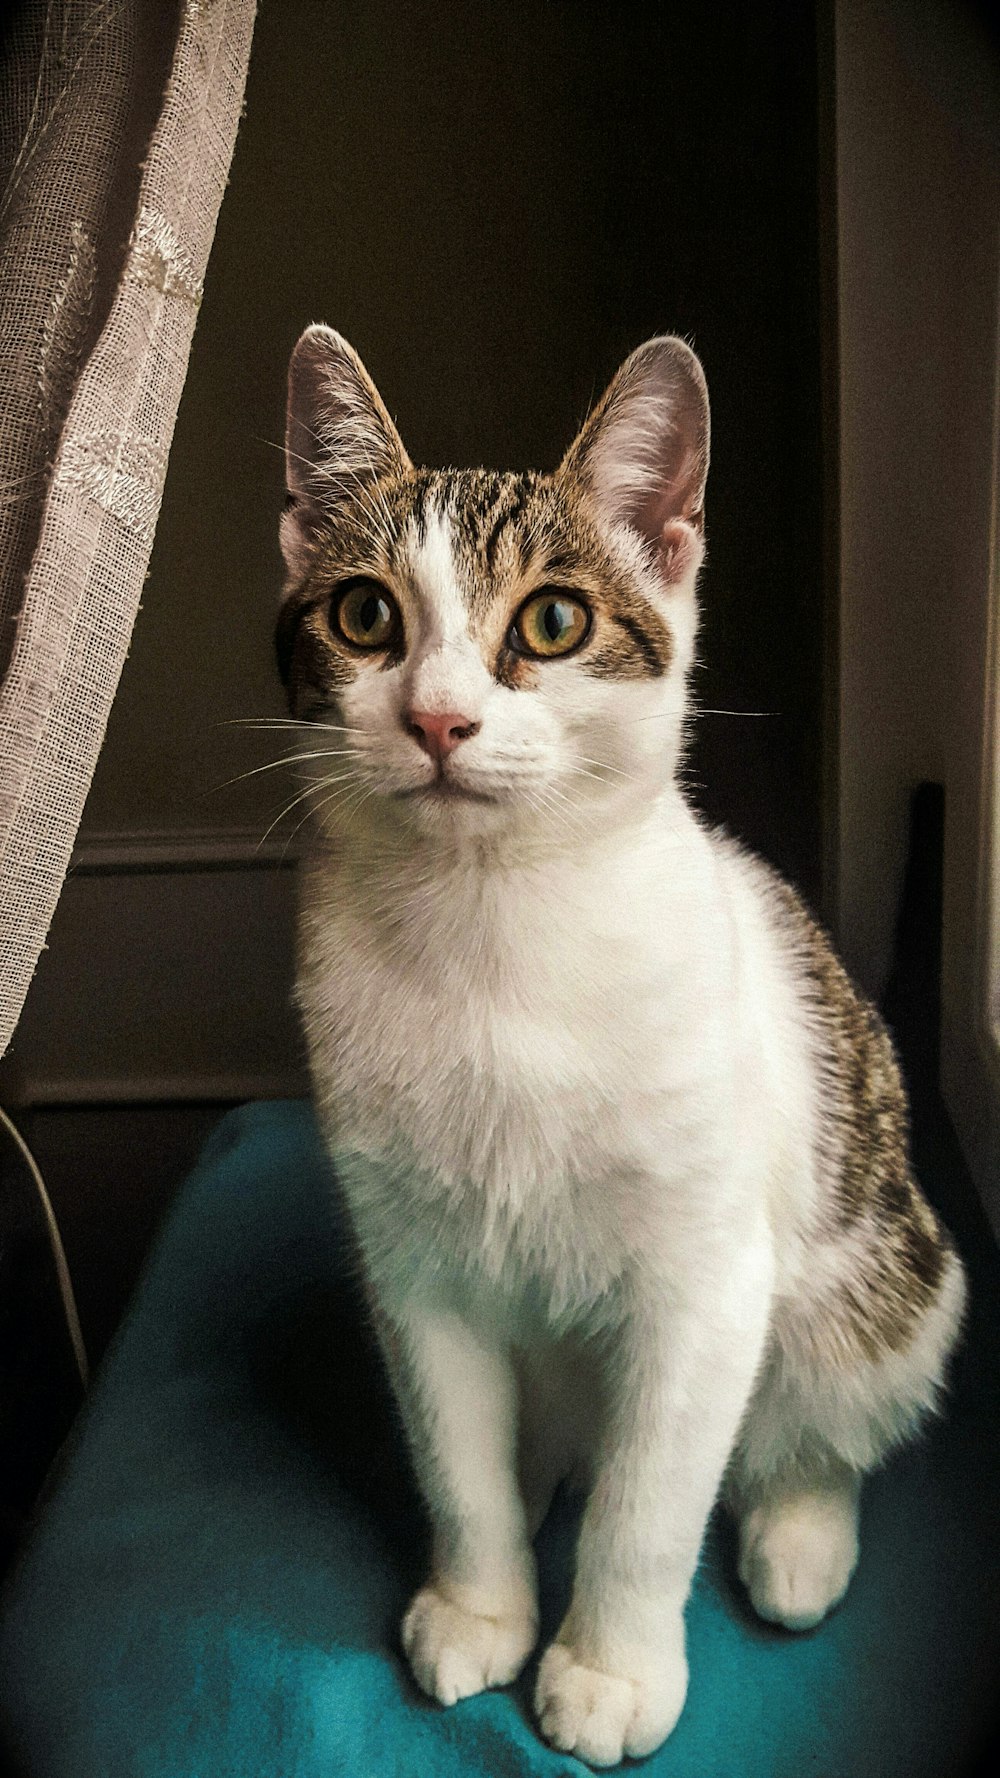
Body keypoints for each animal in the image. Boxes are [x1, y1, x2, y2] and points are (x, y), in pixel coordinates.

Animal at [275, 330, 960, 1763]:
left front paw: (609, 1665)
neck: (491, 930)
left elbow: (650, 1504)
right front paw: (482, 1601)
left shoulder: (705, 1278)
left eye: (552, 621)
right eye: (364, 617)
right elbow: (452, 1451)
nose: (437, 718)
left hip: (886, 1275)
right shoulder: (408, 1258)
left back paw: (799, 1529)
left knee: (818, 1417)